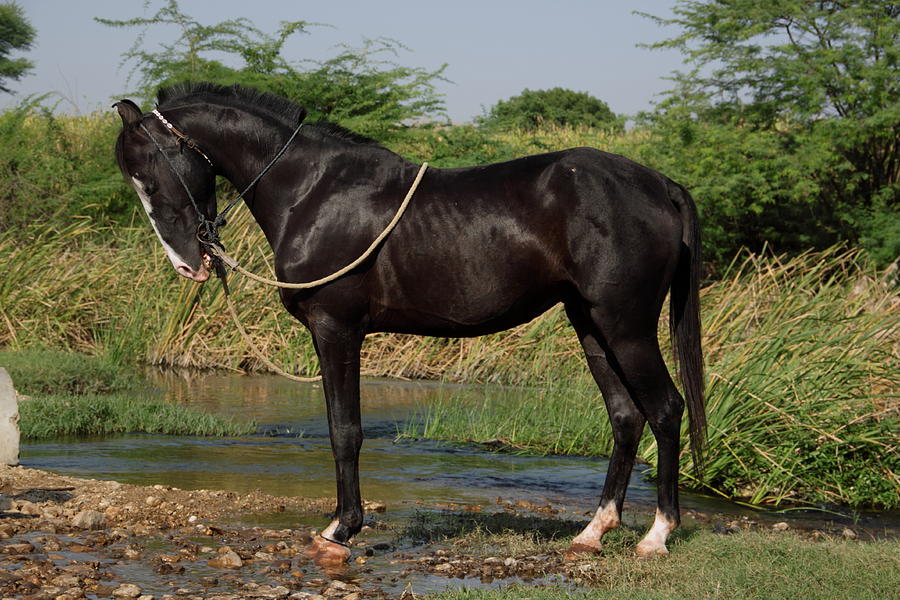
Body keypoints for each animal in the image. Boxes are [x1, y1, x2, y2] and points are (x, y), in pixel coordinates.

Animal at [114, 82, 704, 564]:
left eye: (149, 175)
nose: (188, 264)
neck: (312, 191)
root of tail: (659, 184)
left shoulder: (336, 330)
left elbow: (344, 431)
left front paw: (339, 531)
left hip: (626, 327)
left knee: (665, 409)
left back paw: (656, 535)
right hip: (590, 325)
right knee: (626, 416)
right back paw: (593, 532)